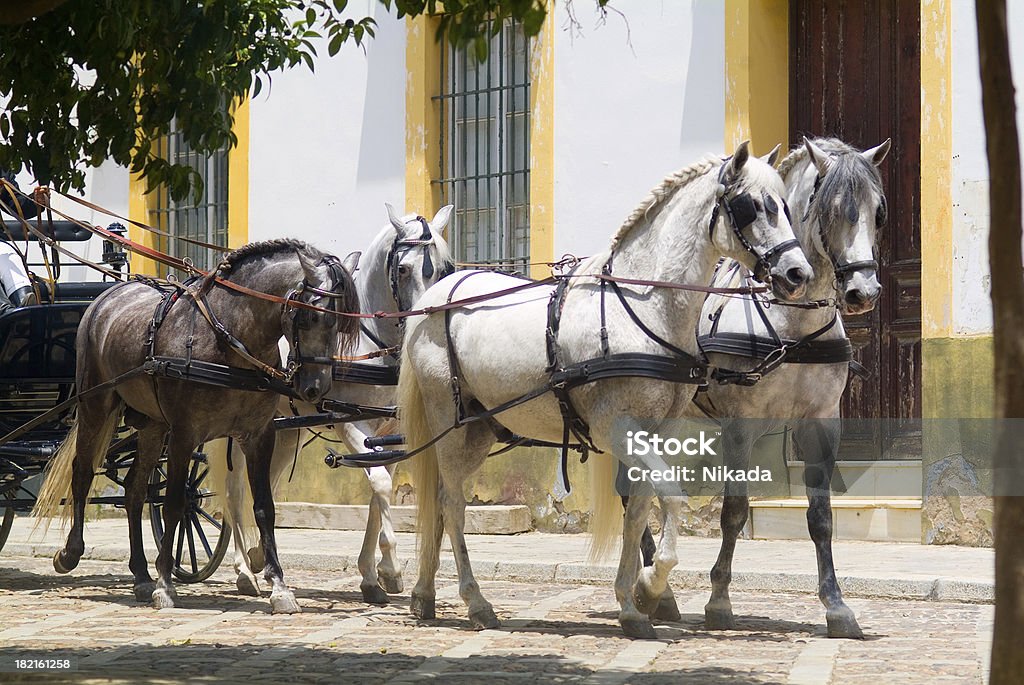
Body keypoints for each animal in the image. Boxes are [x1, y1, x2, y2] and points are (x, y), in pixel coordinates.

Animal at [35, 237, 360, 610]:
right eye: (309, 315)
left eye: (343, 322)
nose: (316, 387)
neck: (230, 342)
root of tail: (108, 295)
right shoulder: (184, 435)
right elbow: (175, 504)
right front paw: (165, 583)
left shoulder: (259, 435)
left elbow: (264, 507)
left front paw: (279, 586)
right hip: (96, 404)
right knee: (83, 472)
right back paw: (72, 553)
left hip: (152, 425)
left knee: (134, 490)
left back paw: (141, 574)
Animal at [226, 204, 454, 602]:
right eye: (403, 268)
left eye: (444, 268)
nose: (424, 319)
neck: (372, 343)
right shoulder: (352, 423)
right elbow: (380, 485)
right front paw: (390, 566)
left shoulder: (390, 428)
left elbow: (379, 488)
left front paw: (373, 575)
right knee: (235, 486)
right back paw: (242, 569)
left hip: (284, 431)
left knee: (265, 482)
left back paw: (257, 557)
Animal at [395, 141, 811, 638]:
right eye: (752, 207)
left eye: (784, 205)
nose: (798, 273)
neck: (644, 308)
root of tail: (434, 297)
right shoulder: (617, 430)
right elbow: (670, 497)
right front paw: (651, 585)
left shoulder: (657, 432)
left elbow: (639, 512)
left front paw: (633, 604)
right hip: (448, 421)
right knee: (452, 503)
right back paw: (475, 601)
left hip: (480, 429)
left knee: (440, 502)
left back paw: (424, 594)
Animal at [688, 136, 888, 638]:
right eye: (831, 210)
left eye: (878, 212)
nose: (862, 292)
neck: (793, 324)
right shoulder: (739, 426)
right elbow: (734, 511)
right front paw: (719, 599)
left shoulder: (822, 423)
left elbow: (820, 517)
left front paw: (836, 605)